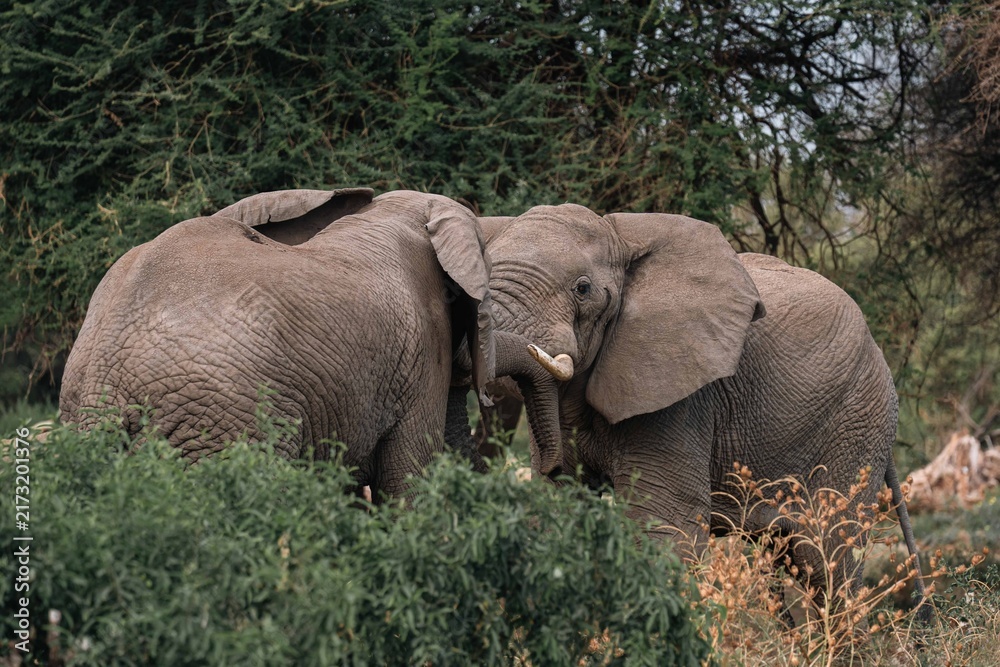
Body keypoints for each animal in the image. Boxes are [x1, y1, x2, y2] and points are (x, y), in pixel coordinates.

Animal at [479, 204, 928, 613]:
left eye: (583, 289)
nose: (550, 461)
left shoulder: (682, 395)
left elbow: (661, 524)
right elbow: (561, 507)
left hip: (857, 422)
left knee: (826, 561)